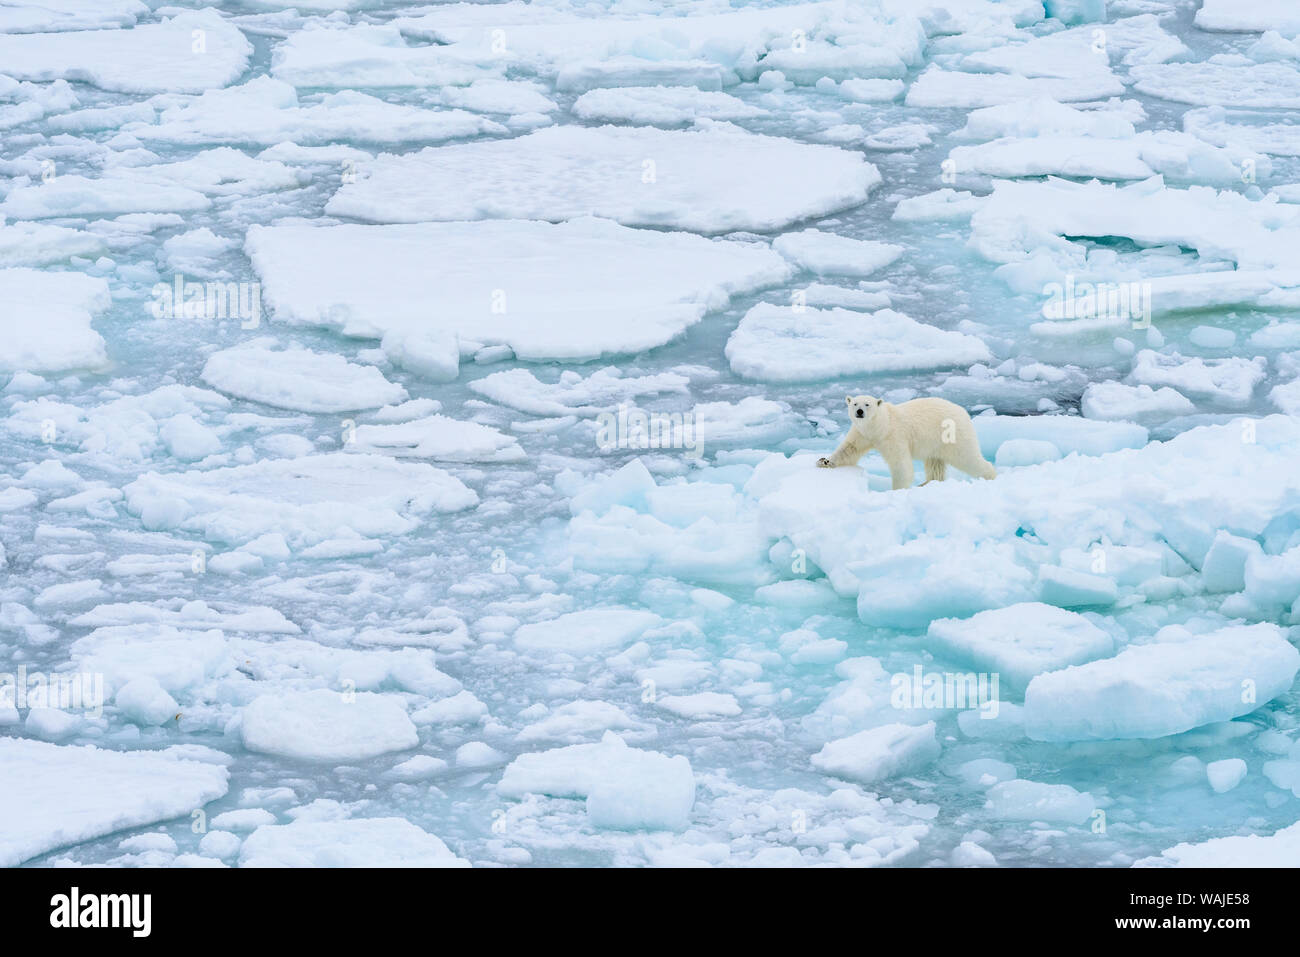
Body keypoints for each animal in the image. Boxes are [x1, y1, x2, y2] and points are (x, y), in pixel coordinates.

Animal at [821, 395, 993, 488]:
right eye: (855, 403)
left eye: (867, 404)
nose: (859, 411)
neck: (880, 425)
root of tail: (963, 412)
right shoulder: (862, 433)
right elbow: (849, 449)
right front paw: (825, 461)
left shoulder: (894, 435)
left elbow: (901, 465)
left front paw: (897, 490)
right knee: (935, 463)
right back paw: (925, 484)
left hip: (952, 436)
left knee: (967, 457)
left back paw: (989, 475)